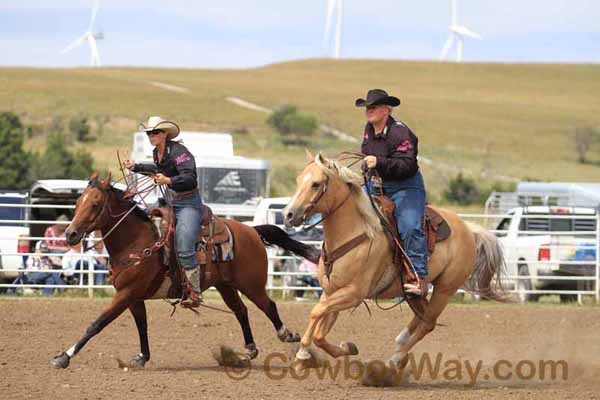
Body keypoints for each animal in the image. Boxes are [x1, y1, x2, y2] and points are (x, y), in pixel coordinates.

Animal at [49, 173, 316, 370]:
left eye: (94, 204)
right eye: (77, 203)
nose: (70, 234)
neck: (135, 242)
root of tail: (252, 230)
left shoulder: (126, 294)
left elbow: (96, 324)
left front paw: (63, 356)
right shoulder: (133, 297)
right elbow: (142, 325)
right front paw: (142, 357)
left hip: (251, 284)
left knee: (268, 306)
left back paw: (287, 335)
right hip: (226, 285)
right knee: (241, 310)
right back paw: (248, 352)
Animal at [282, 153, 506, 384]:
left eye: (316, 184)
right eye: (298, 180)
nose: (288, 214)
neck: (356, 232)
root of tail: (469, 229)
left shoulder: (353, 294)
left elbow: (316, 313)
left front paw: (302, 356)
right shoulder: (331, 292)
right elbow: (320, 329)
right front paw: (341, 349)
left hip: (445, 289)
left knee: (428, 323)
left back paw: (393, 361)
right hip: (416, 292)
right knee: (423, 318)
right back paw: (400, 346)